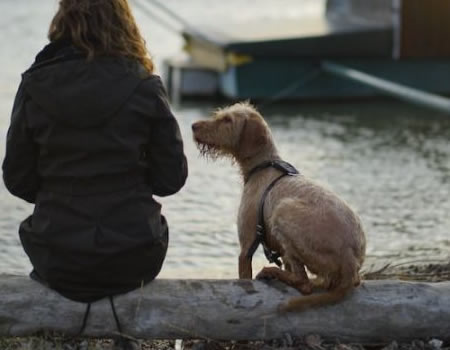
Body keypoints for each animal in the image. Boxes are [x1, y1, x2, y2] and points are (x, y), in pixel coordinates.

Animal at [192, 102, 366, 312]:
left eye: (227, 120)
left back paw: (272, 272)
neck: (263, 166)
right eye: (220, 114)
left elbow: (244, 276)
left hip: (283, 212)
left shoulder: (246, 247)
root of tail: (349, 259)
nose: (193, 126)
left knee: (304, 283)